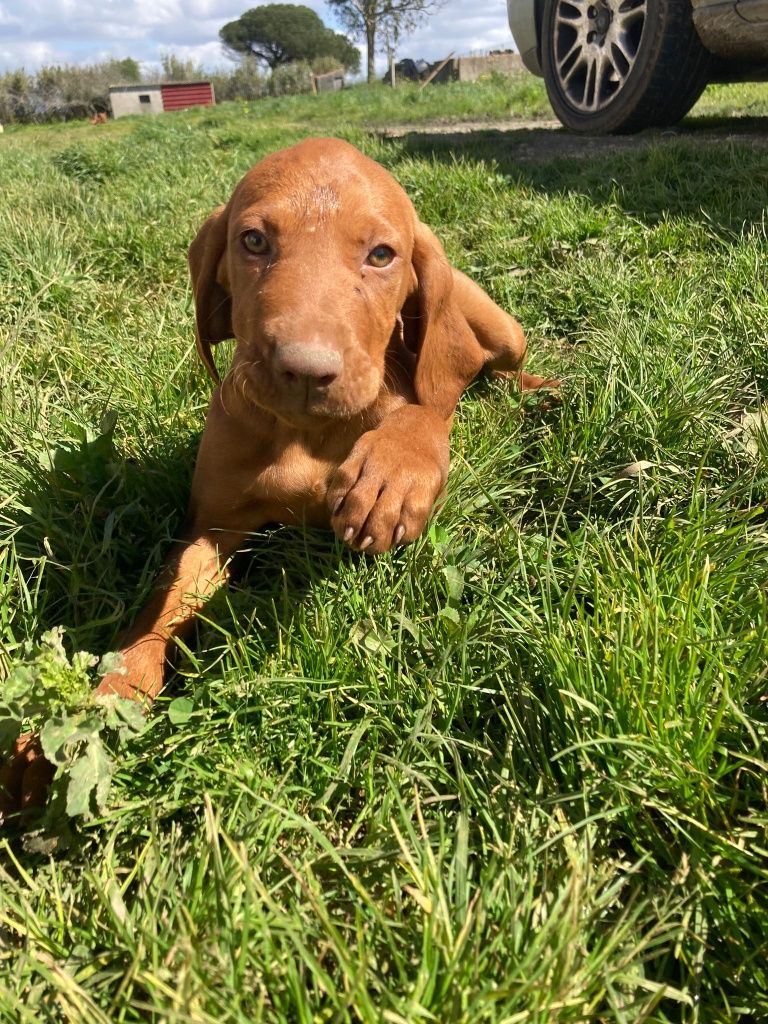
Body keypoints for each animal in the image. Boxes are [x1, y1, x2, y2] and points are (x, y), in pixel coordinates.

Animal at [0, 136, 552, 811]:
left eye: (381, 254)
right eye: (255, 241)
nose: (306, 370)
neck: (305, 434)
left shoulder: (418, 392)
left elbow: (425, 406)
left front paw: (392, 474)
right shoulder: (211, 530)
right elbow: (160, 607)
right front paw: (100, 703)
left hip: (499, 327)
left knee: (476, 366)